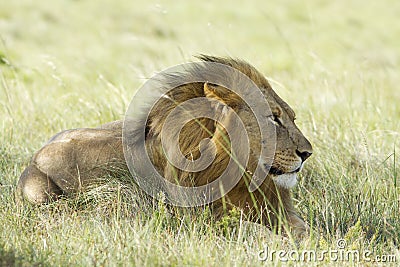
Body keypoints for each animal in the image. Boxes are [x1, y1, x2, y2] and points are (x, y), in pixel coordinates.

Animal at [17, 55, 312, 238]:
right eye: (273, 118)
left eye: (292, 117)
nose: (307, 153)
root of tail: (33, 161)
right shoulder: (197, 219)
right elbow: (248, 228)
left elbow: (304, 228)